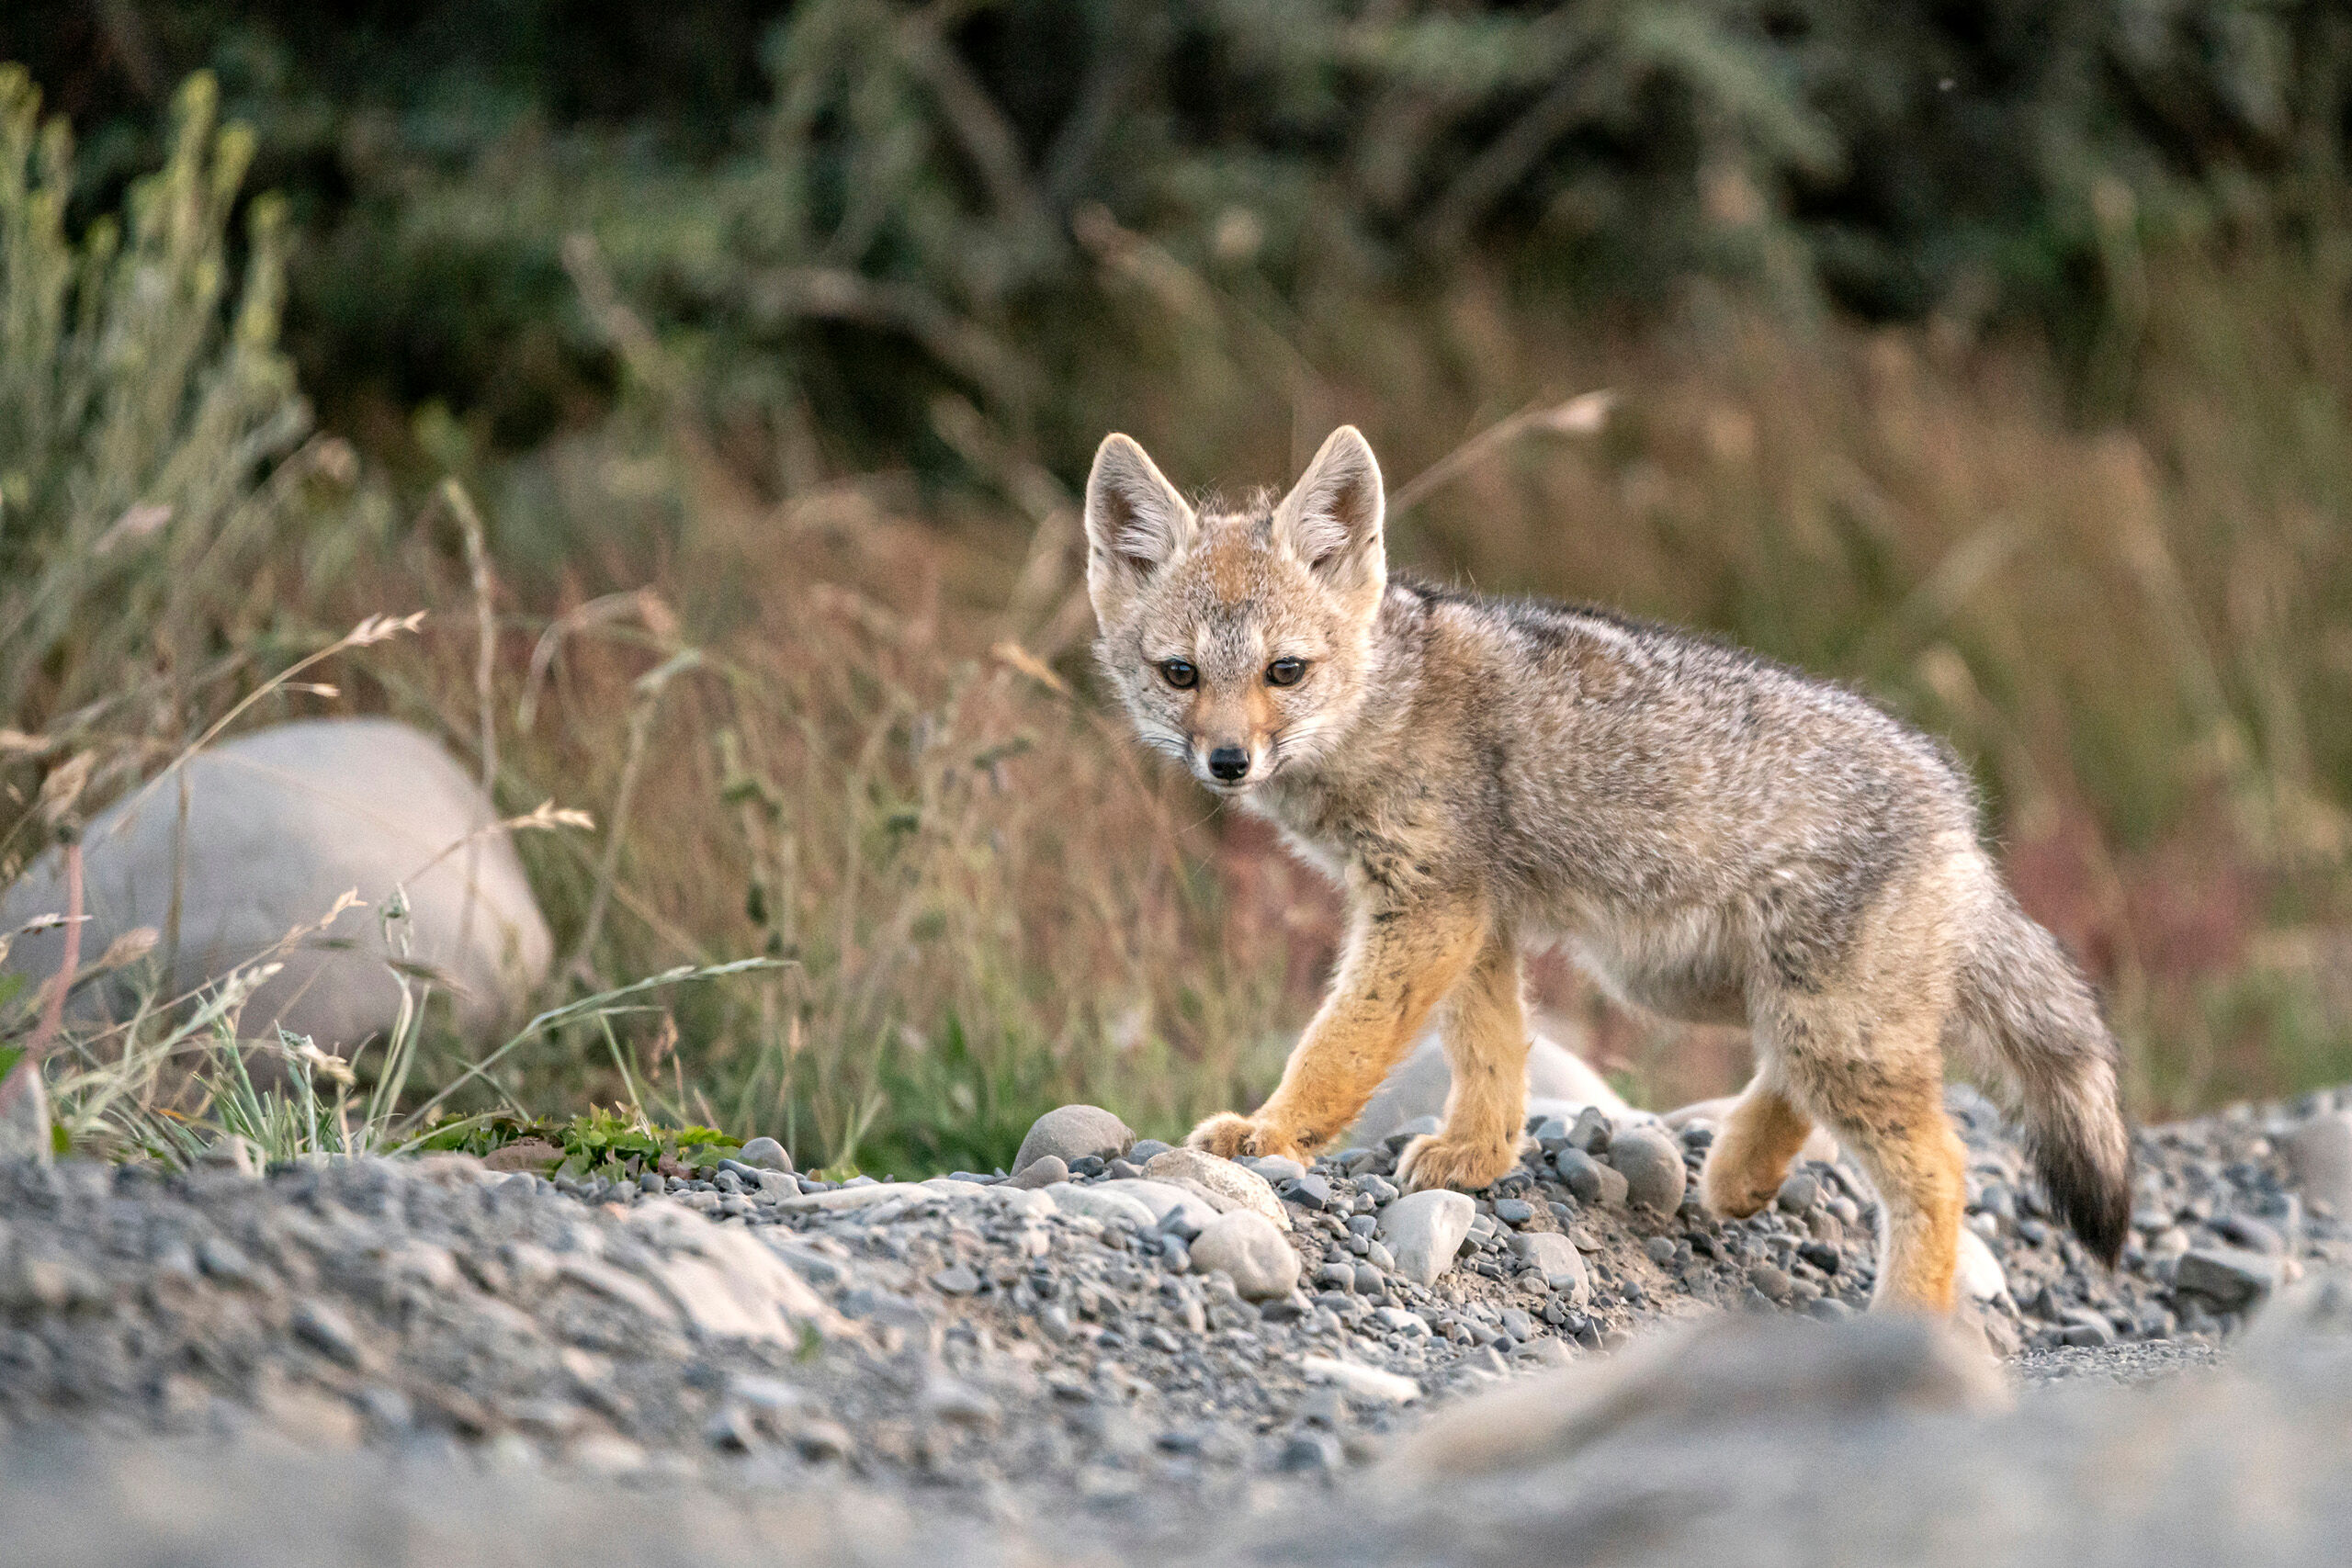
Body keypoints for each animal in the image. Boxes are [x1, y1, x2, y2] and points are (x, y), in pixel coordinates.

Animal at [1081, 424, 2133, 1313]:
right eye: (1181, 674)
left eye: (1284, 672)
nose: (1226, 762)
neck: (1387, 705)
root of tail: (1959, 814)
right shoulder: (1471, 913)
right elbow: (1490, 1049)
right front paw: (1477, 1154)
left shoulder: (1426, 908)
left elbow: (1339, 1043)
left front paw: (1275, 1133)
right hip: (1715, 991)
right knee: (1799, 1082)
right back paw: (1740, 1171)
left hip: (1802, 1017)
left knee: (1939, 1169)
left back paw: (1905, 1318)